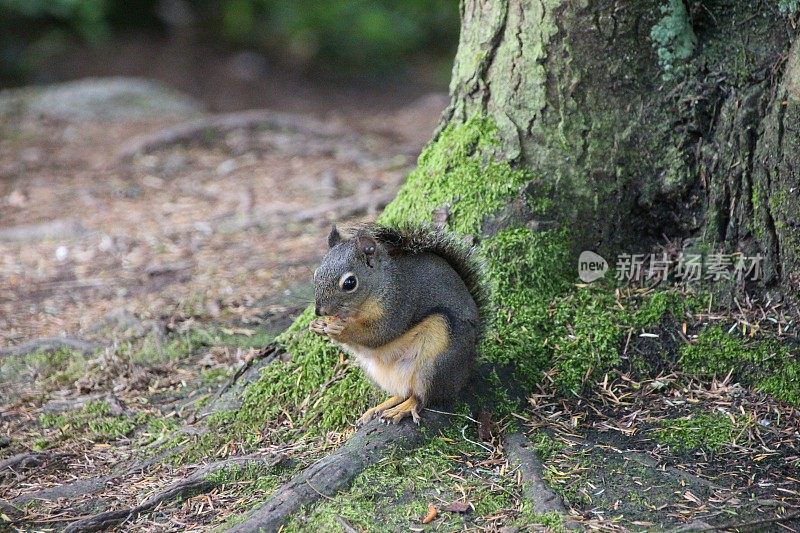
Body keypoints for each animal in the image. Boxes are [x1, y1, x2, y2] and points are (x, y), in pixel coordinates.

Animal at [308, 222, 484, 426]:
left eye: (350, 283)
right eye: (316, 274)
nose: (320, 311)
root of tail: (466, 370)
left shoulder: (400, 302)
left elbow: (379, 334)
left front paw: (340, 329)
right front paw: (317, 326)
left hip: (434, 364)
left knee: (422, 397)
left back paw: (402, 409)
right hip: (376, 372)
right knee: (403, 392)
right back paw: (379, 408)